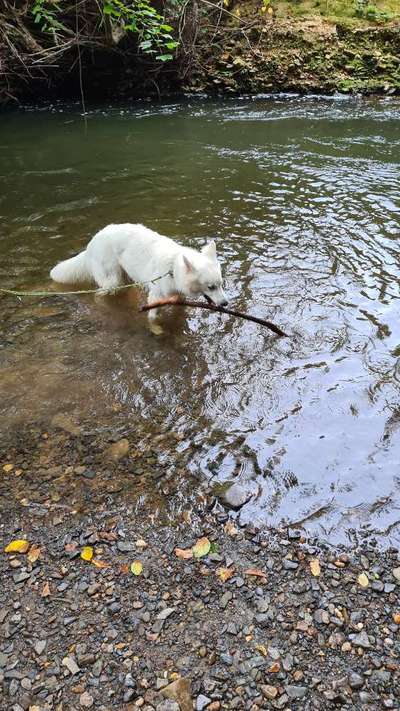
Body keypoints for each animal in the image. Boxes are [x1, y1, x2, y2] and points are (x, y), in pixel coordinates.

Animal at [49, 224, 228, 332]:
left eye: (221, 284)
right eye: (211, 287)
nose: (225, 304)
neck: (173, 268)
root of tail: (92, 242)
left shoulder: (178, 296)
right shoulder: (155, 296)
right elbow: (152, 317)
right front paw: (156, 330)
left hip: (126, 278)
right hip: (113, 281)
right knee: (98, 295)